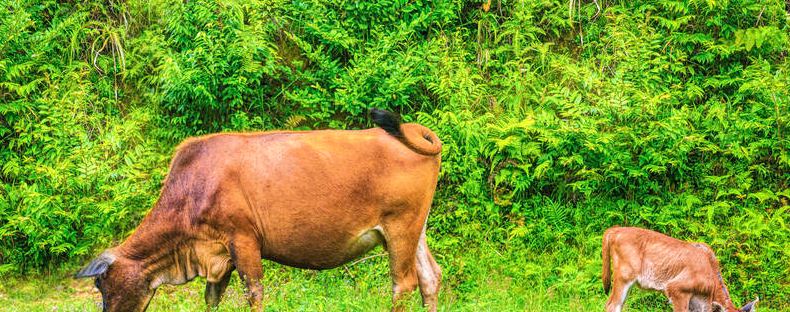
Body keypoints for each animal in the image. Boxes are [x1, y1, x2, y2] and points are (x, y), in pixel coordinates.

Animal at [76, 108, 446, 310]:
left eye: (102, 286)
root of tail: (412, 129)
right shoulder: (218, 255)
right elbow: (211, 297)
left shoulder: (243, 239)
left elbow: (253, 293)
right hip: (415, 228)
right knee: (430, 276)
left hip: (399, 226)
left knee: (403, 284)